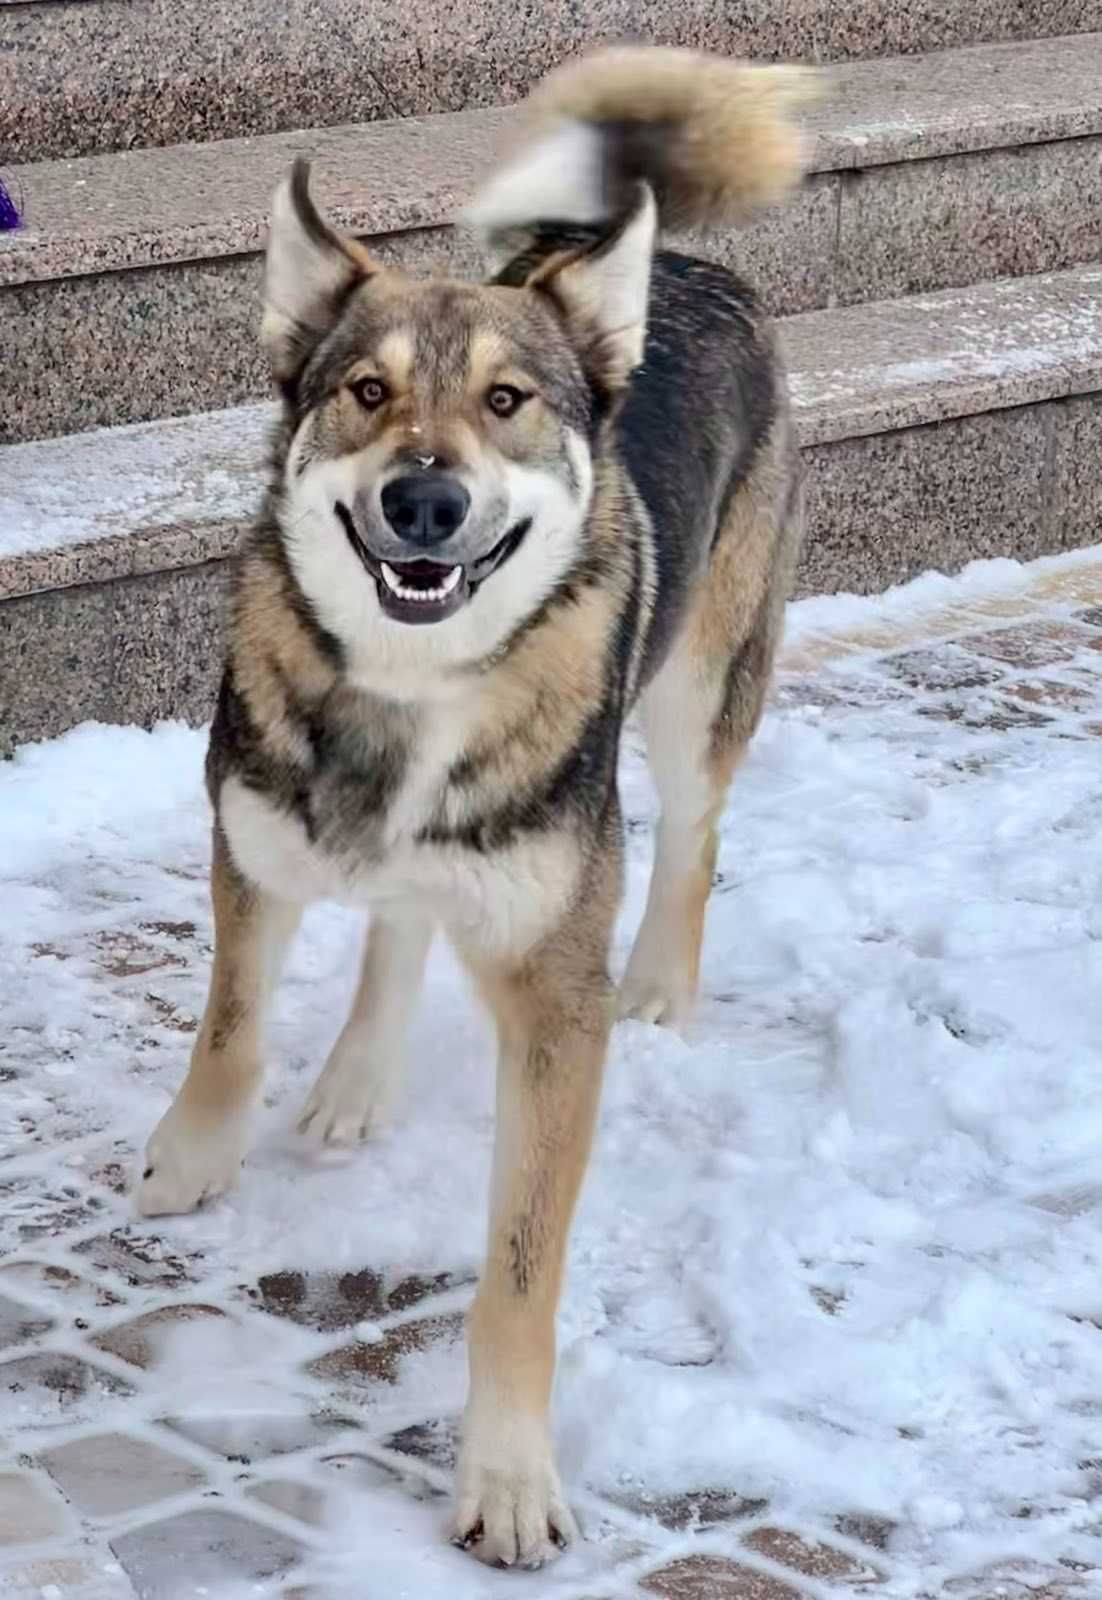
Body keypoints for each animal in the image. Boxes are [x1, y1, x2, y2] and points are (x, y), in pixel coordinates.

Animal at [135, 46, 809, 1561]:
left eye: (506, 402)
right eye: (364, 390)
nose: (424, 503)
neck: (406, 693)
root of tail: (679, 263)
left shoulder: (554, 1000)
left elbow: (518, 1272)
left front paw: (503, 1477)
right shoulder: (249, 843)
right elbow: (233, 1025)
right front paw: (193, 1157)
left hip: (697, 693)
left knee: (695, 834)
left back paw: (662, 984)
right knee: (400, 917)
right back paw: (356, 1077)